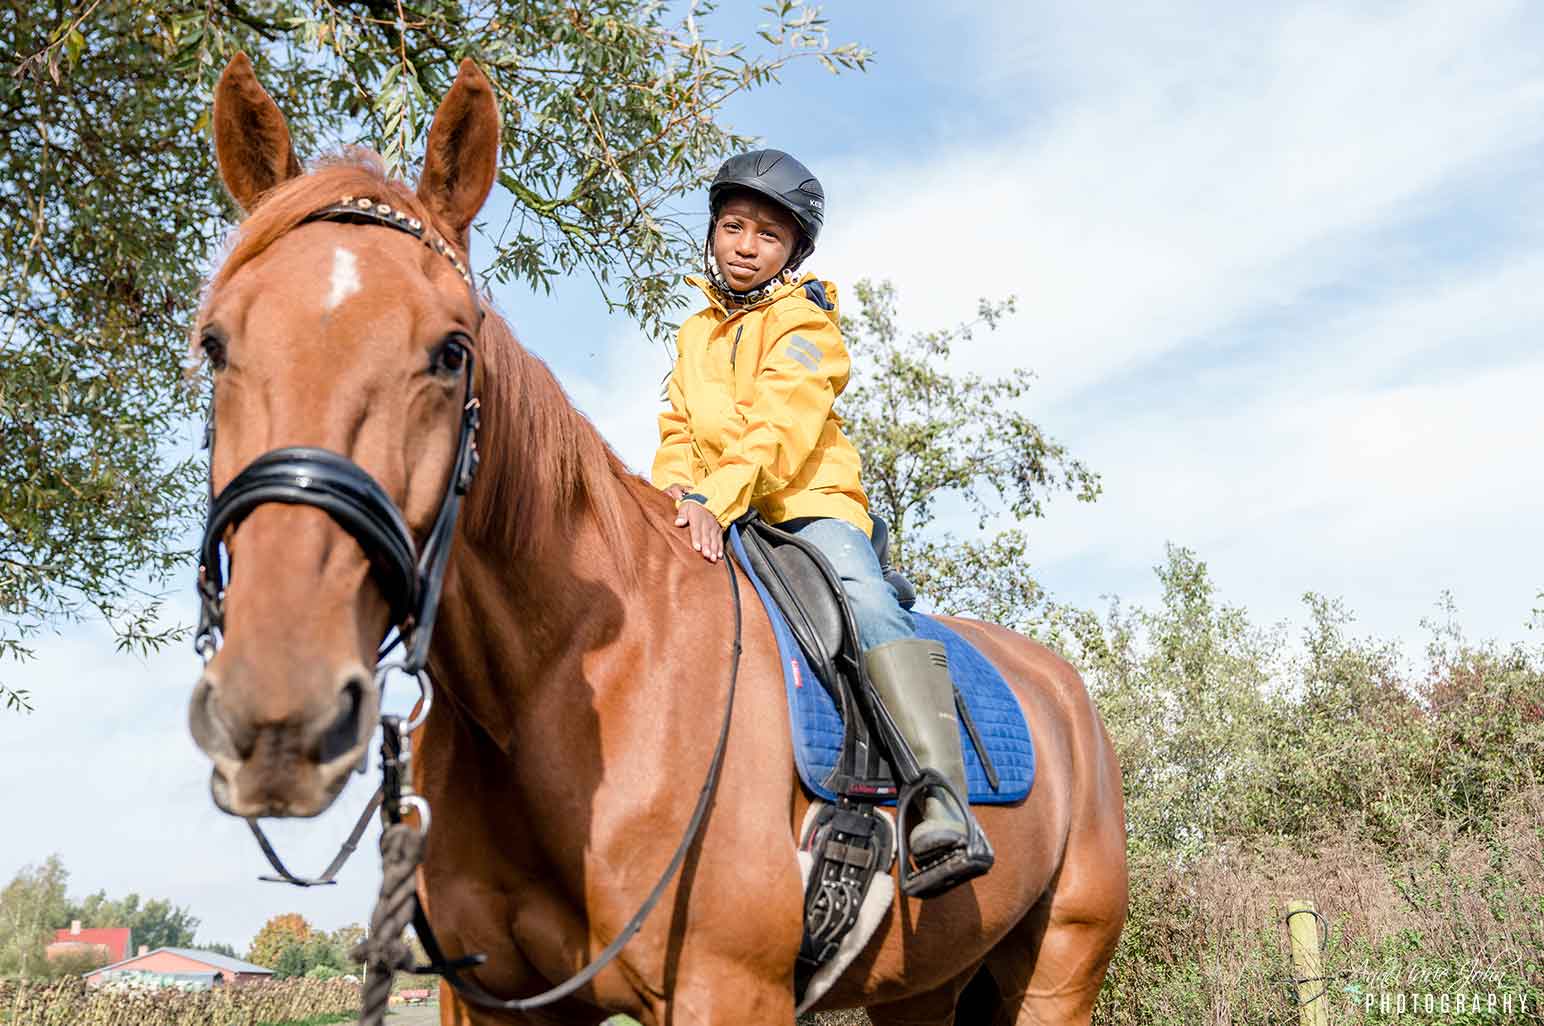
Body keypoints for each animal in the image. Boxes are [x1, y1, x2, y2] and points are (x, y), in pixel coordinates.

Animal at [185, 53, 1129, 1026]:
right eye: (215, 343)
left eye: (451, 352)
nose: (275, 711)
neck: (569, 685)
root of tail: (1066, 694)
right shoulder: (493, 1004)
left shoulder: (728, 990)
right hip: (927, 986)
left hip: (1060, 970)